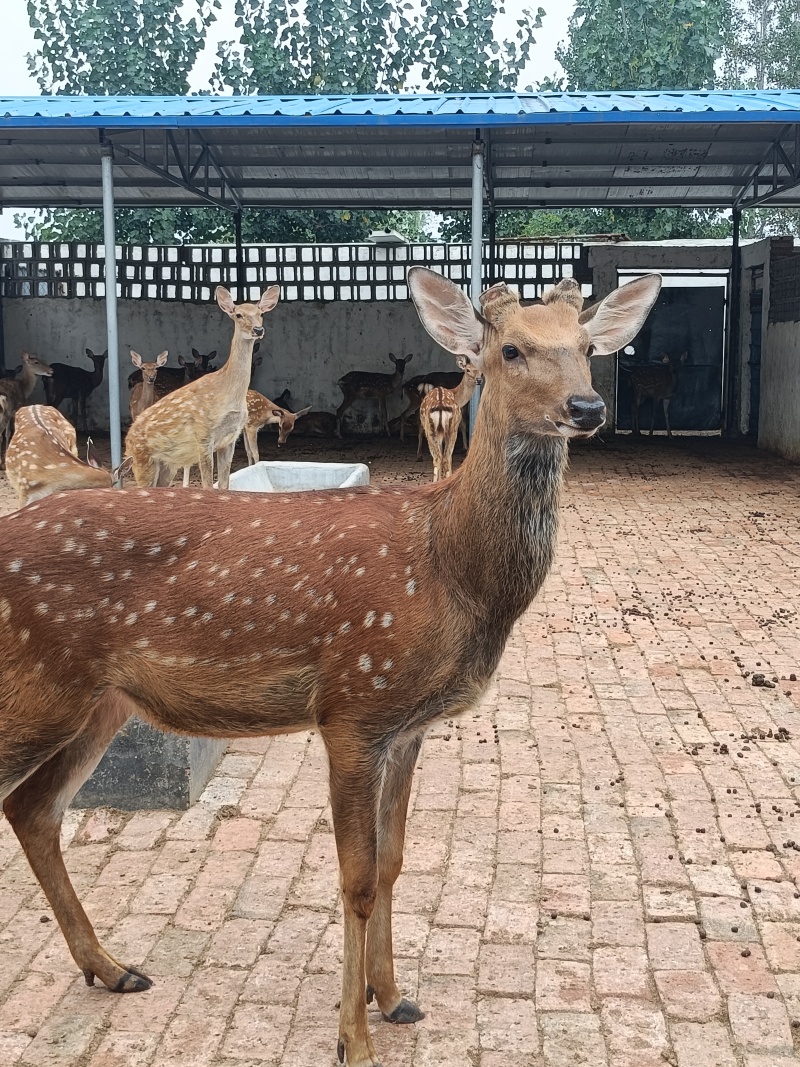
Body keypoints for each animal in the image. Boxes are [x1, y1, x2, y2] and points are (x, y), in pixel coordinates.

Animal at [125, 286, 279, 490]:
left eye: (260, 313)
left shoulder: (230, 439)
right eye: (238, 314)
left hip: (167, 465)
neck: (230, 396)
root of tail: (127, 441)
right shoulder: (203, 434)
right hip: (142, 459)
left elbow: (224, 486)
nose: (258, 329)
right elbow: (207, 486)